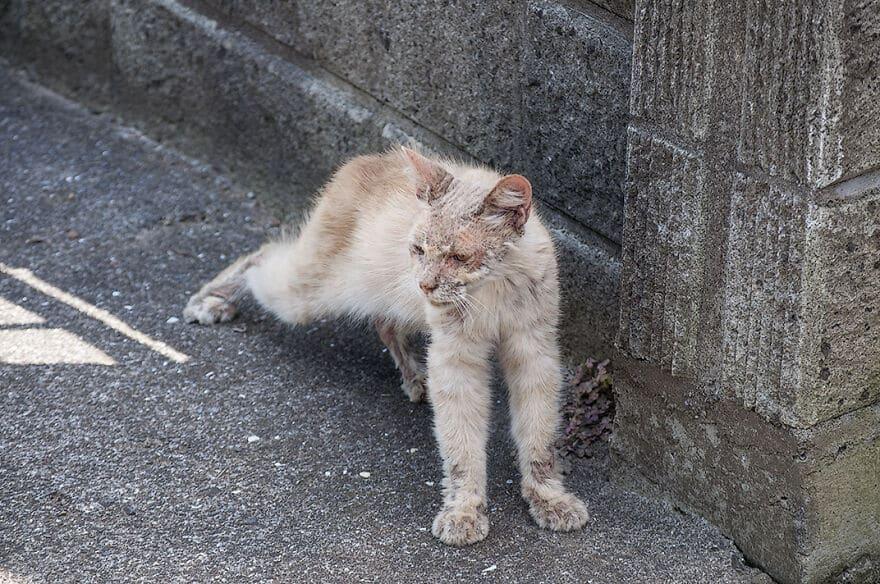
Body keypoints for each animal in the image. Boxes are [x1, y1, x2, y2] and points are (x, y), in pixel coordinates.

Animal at [182, 148, 588, 544]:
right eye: (419, 249)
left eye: (458, 257)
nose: (426, 284)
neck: (493, 289)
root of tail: (368, 160)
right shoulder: (455, 362)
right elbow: (461, 444)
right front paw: (463, 511)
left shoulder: (534, 354)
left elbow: (538, 435)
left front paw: (548, 498)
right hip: (309, 293)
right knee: (263, 254)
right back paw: (210, 300)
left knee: (383, 322)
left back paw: (414, 379)